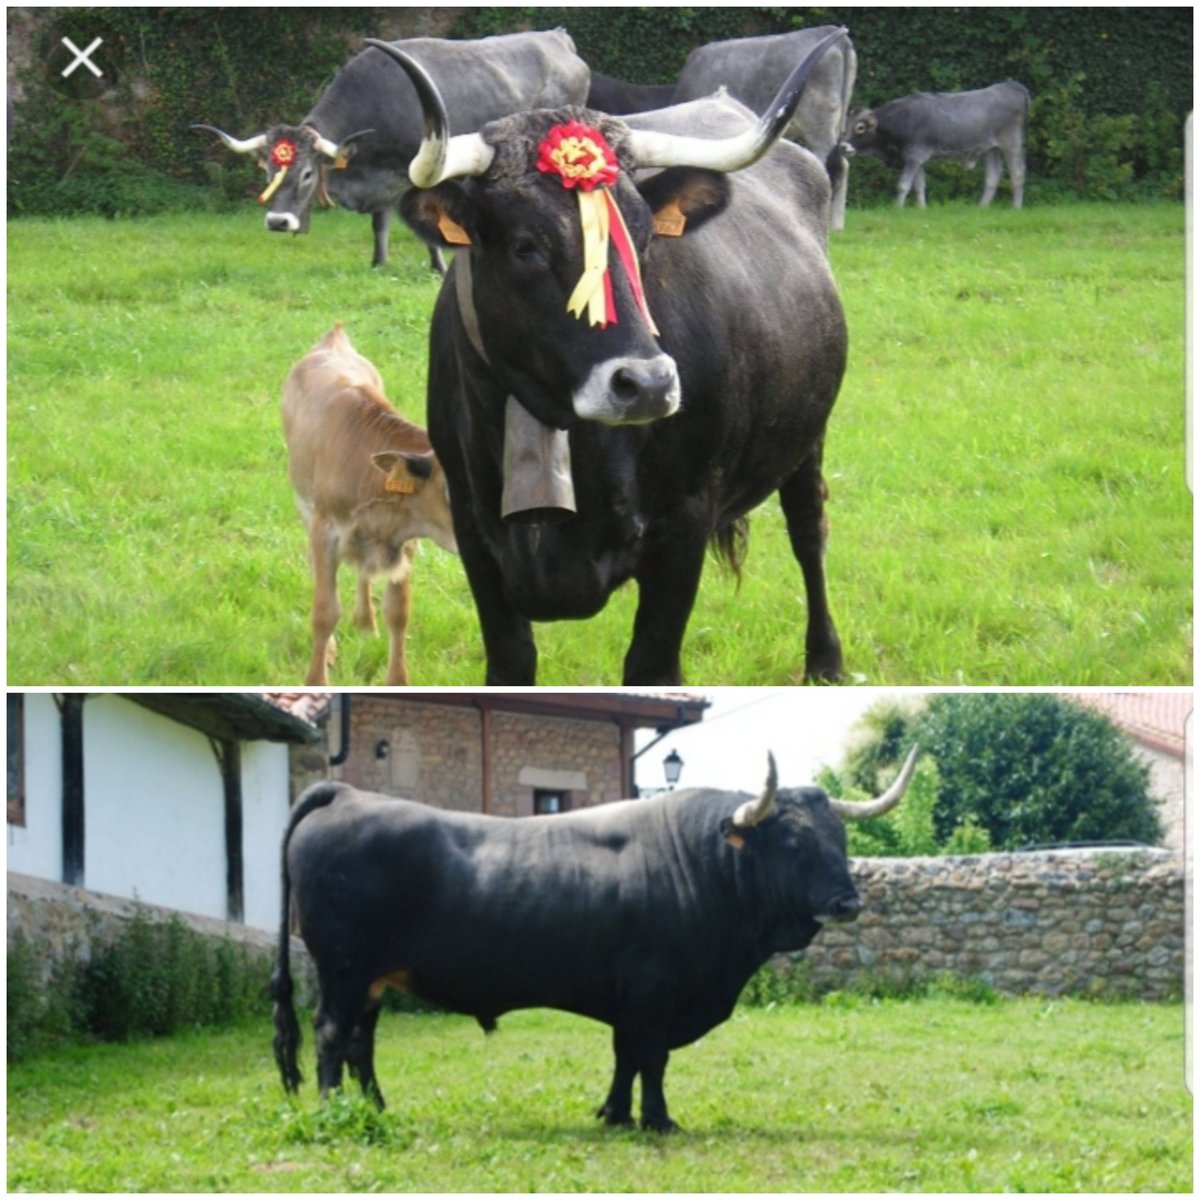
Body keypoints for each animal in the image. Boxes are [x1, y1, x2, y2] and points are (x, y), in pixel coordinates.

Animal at [193, 30, 590, 270]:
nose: (278, 222)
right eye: (269, 171)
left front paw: (438, 266)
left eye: (306, 173)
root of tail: (556, 37)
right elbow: (380, 223)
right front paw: (378, 262)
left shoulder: (419, 168)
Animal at [271, 745, 920, 1131]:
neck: (702, 862)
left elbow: (625, 1055)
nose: (848, 902)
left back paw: (377, 1108)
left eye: (839, 838)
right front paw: (658, 1121)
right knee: (332, 1036)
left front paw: (614, 1113)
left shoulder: (631, 997)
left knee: (361, 1042)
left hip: (375, 977)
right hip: (345, 970)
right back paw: (333, 1113)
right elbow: (651, 1057)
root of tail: (346, 793)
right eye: (791, 842)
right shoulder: (654, 989)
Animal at [281, 323, 457, 685]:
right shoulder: (325, 528)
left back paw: (365, 622)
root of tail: (334, 338)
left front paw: (398, 681)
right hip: (305, 506)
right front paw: (317, 678)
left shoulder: (405, 535)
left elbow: (399, 611)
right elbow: (325, 610)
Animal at [842, 81, 1030, 209]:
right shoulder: (914, 158)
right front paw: (922, 209)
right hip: (991, 148)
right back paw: (982, 207)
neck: (902, 119)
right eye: (846, 125)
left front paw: (897, 208)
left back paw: (1016, 208)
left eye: (860, 127)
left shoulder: (914, 156)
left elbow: (903, 185)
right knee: (993, 176)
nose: (843, 147)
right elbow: (919, 186)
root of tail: (1011, 86)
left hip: (1011, 142)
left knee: (1017, 173)